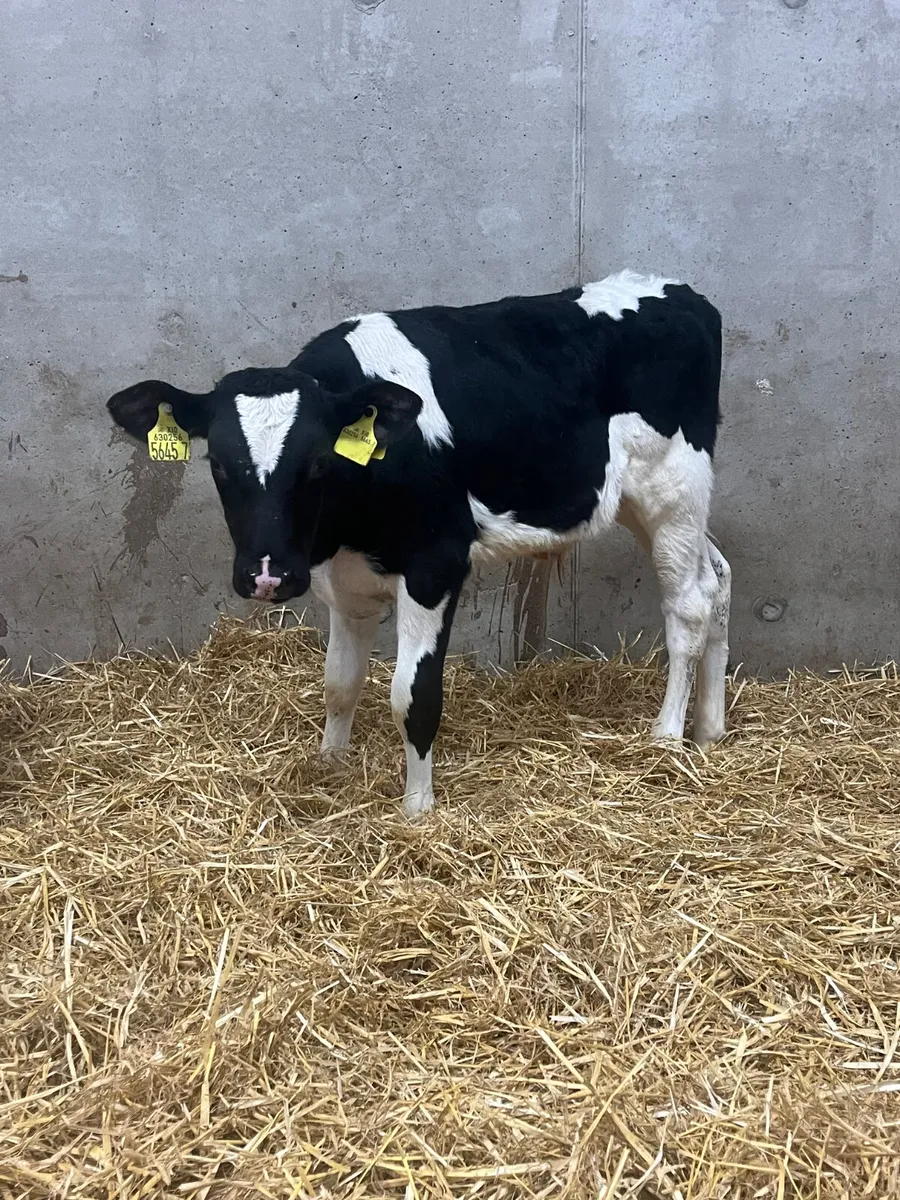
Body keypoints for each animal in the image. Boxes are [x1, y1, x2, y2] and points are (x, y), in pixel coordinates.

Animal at [107, 269, 730, 818]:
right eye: (217, 463)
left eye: (317, 462)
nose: (266, 576)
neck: (346, 524)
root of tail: (683, 294)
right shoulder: (344, 581)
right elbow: (339, 683)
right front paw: (330, 767)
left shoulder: (436, 565)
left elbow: (413, 695)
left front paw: (417, 808)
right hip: (638, 501)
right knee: (719, 577)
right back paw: (709, 730)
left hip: (673, 489)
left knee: (689, 605)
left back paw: (666, 738)